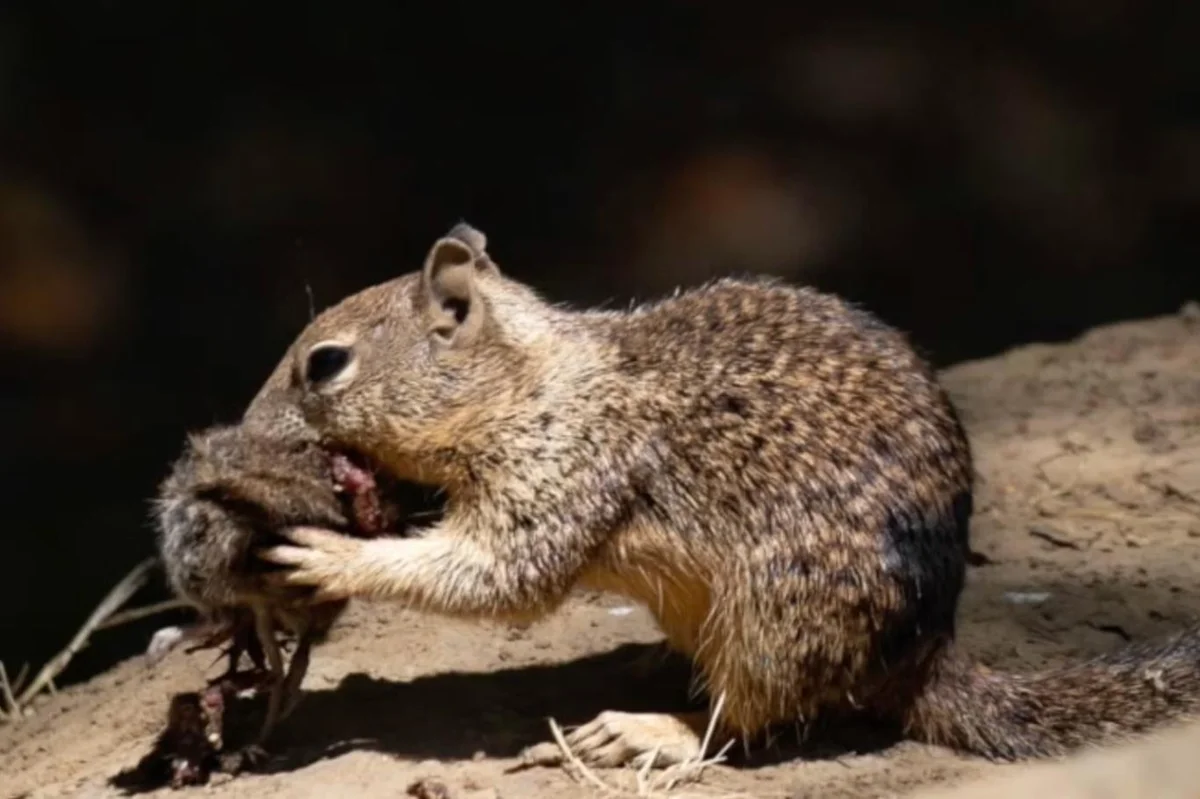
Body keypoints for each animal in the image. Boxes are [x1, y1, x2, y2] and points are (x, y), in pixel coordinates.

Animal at [238, 221, 1200, 767]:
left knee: (750, 721)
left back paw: (646, 729)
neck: (528, 382)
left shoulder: (564, 466)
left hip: (777, 616)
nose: (244, 427)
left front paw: (331, 555)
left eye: (325, 364)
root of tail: (923, 652)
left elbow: (500, 571)